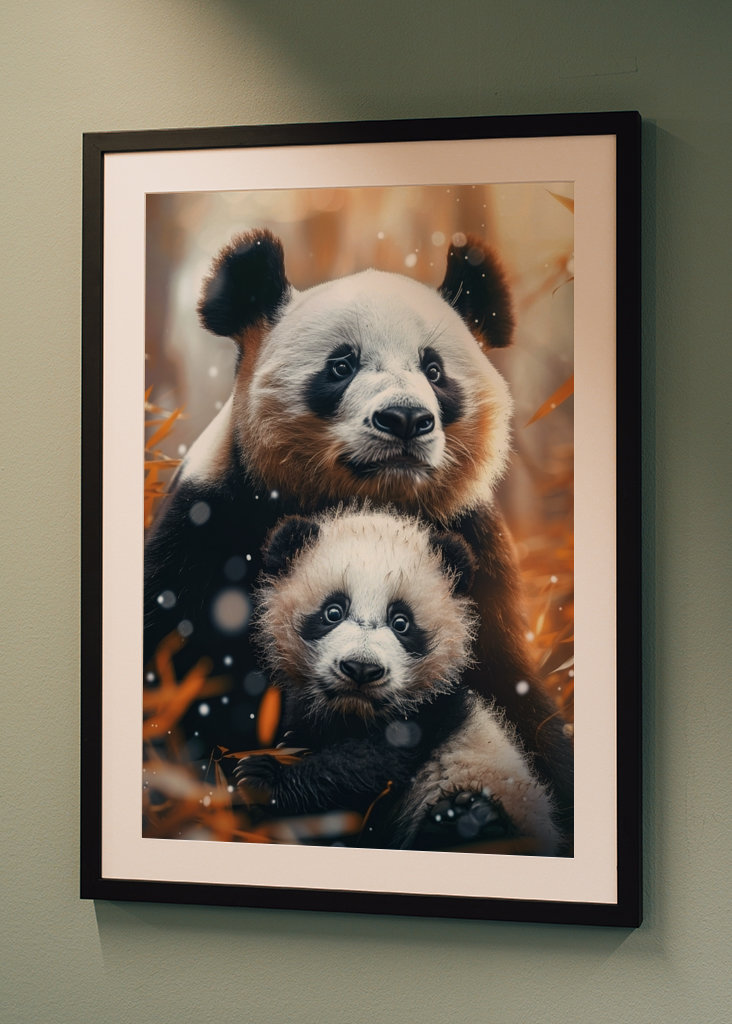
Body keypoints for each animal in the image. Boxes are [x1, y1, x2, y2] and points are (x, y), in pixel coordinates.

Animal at [234, 508, 559, 855]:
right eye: (333, 612)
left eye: (401, 622)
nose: (361, 669)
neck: (355, 712)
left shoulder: (430, 713)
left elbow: (367, 767)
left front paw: (261, 777)